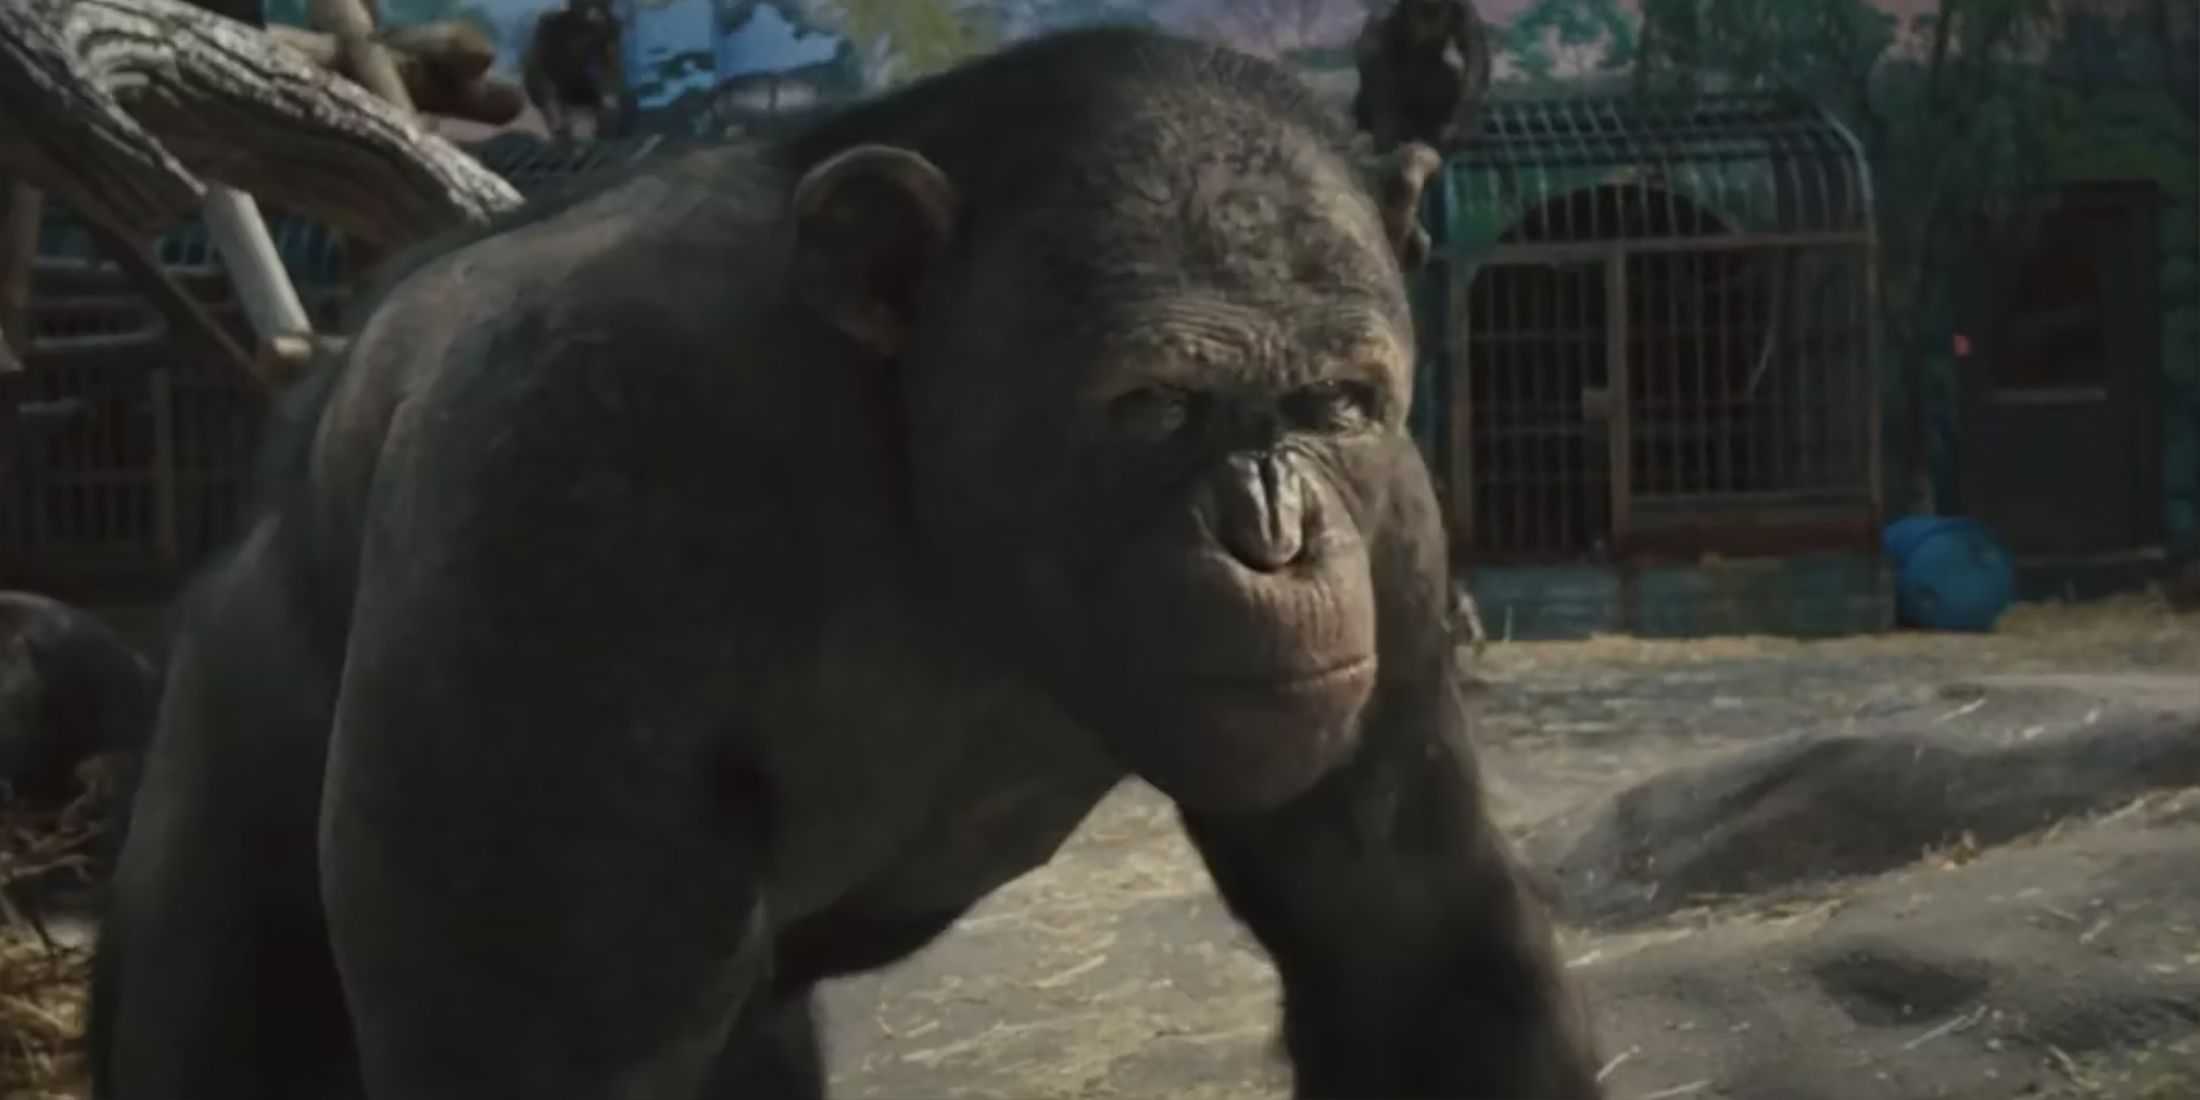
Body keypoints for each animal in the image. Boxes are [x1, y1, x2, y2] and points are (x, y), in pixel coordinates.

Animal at [90, 25, 1601, 1100]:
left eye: (1337, 402)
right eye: (1158, 404)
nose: (1275, 530)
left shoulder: (1395, 532)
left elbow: (1408, 948)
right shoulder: (552, 476)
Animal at [1355, 0, 1496, 155]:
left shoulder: (1461, 7)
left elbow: (1473, 49)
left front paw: (1460, 127)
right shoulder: (1387, 15)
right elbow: (1374, 48)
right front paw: (1386, 134)